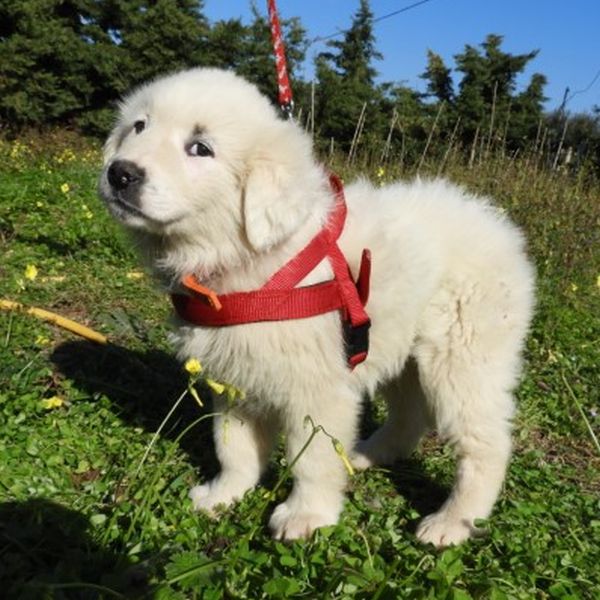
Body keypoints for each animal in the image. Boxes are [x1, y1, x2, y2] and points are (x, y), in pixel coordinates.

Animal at [99, 68, 535, 547]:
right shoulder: (235, 377)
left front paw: (307, 515)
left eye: (201, 148)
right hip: (401, 349)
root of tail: (496, 223)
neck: (252, 261)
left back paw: (453, 521)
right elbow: (233, 449)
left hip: (463, 358)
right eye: (139, 127)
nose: (120, 173)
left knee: (486, 443)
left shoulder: (318, 389)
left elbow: (313, 459)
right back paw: (367, 454)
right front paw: (223, 495)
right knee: (410, 415)